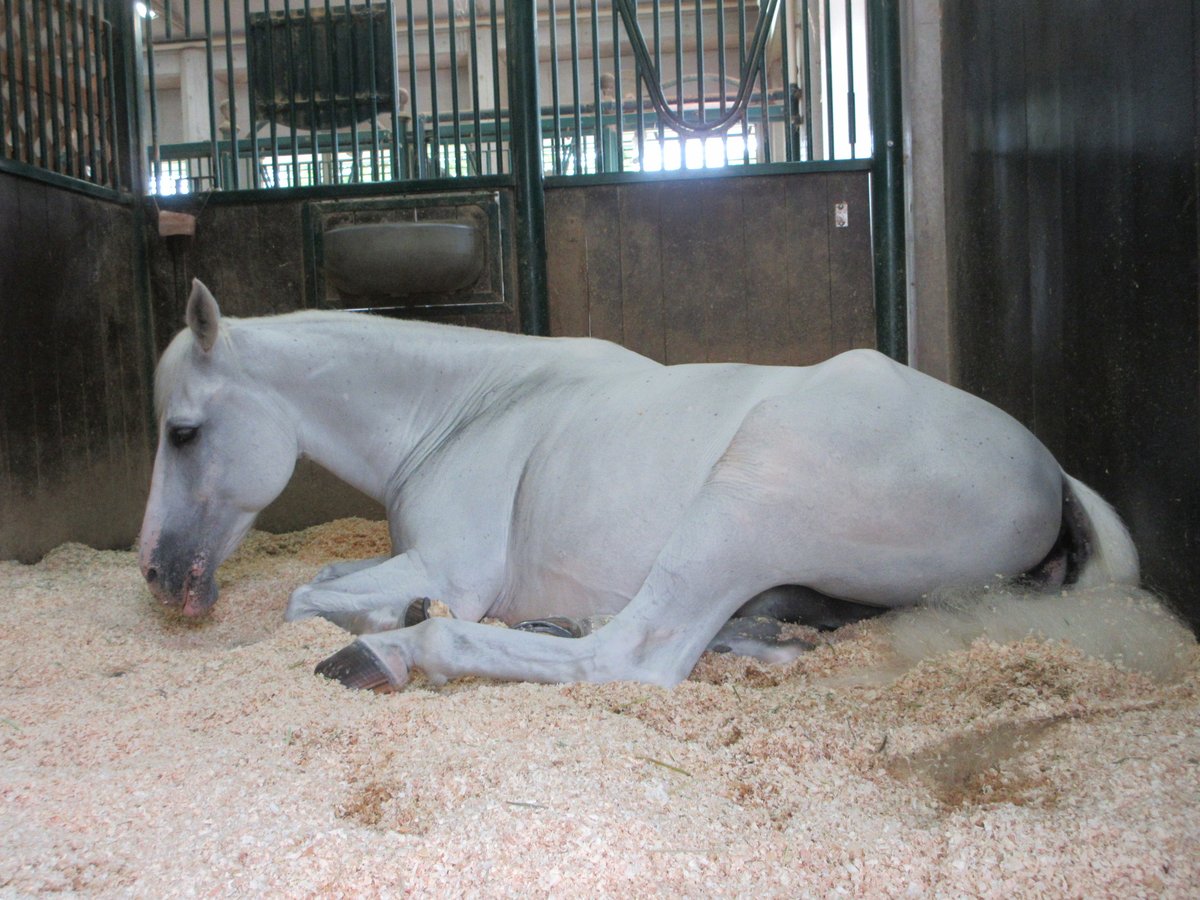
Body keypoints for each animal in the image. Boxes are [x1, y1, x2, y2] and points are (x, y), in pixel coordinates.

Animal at [138, 280, 1139, 691]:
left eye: (182, 431)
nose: (158, 575)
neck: (463, 407)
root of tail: (1050, 473)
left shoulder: (456, 567)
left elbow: (305, 597)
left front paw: (391, 623)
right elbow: (324, 582)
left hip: (744, 506)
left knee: (632, 657)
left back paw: (400, 653)